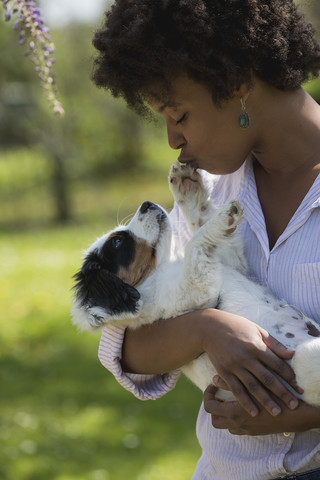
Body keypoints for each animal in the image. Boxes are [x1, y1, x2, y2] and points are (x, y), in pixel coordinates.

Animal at [71, 161, 320, 404]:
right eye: (118, 242)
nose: (146, 204)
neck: (162, 270)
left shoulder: (230, 262)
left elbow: (200, 222)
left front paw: (186, 185)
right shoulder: (194, 289)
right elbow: (194, 242)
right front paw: (222, 217)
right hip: (305, 359)